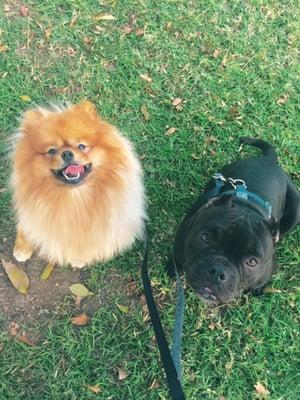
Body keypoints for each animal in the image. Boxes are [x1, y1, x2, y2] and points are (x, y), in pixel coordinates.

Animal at [12, 101, 146, 268]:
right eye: (52, 151)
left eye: (81, 146)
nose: (67, 153)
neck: (75, 197)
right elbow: (27, 226)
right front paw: (22, 248)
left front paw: (78, 259)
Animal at [169, 138, 300, 304]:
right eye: (205, 238)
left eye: (252, 262)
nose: (218, 272)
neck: (247, 205)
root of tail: (269, 161)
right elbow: (177, 261)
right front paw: (173, 270)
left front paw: (257, 288)